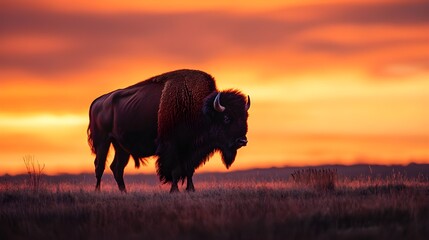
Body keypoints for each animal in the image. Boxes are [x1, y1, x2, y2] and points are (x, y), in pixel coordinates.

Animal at [87, 69, 249, 193]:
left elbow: (189, 170)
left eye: (245, 117)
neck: (200, 110)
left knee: (117, 168)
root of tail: (98, 101)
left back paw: (124, 192)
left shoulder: (190, 150)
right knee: (99, 166)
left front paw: (191, 189)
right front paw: (174, 190)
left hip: (121, 147)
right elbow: (175, 170)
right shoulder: (172, 146)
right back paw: (98, 191)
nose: (242, 141)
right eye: (227, 117)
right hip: (103, 142)